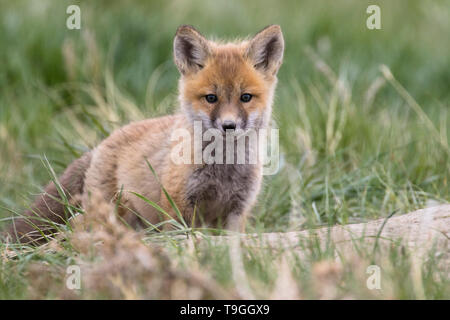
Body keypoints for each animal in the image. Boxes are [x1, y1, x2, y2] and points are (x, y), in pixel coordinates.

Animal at [2, 25, 284, 244]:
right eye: (211, 98)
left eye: (245, 97)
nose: (228, 126)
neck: (224, 168)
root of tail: (102, 143)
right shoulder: (178, 205)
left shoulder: (237, 211)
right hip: (112, 213)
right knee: (75, 226)